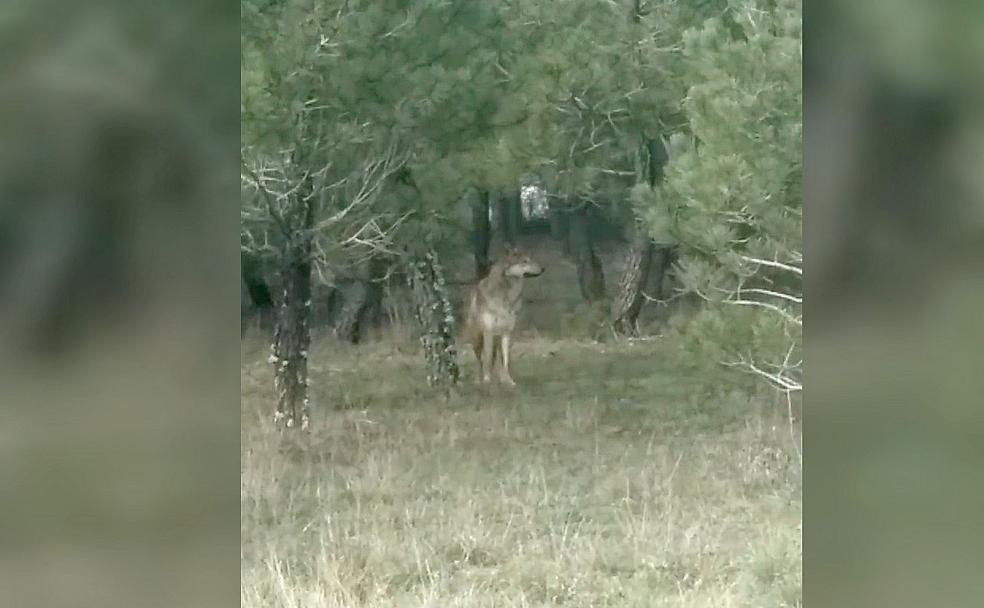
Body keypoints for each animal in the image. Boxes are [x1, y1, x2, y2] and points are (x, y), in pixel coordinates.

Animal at [463, 247, 544, 385]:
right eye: (525, 261)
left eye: (530, 259)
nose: (543, 268)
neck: (507, 295)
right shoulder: (488, 332)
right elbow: (487, 359)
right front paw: (487, 380)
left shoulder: (507, 332)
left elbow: (505, 361)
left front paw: (508, 381)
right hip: (477, 339)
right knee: (480, 360)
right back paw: (478, 379)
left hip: (496, 339)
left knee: (496, 358)